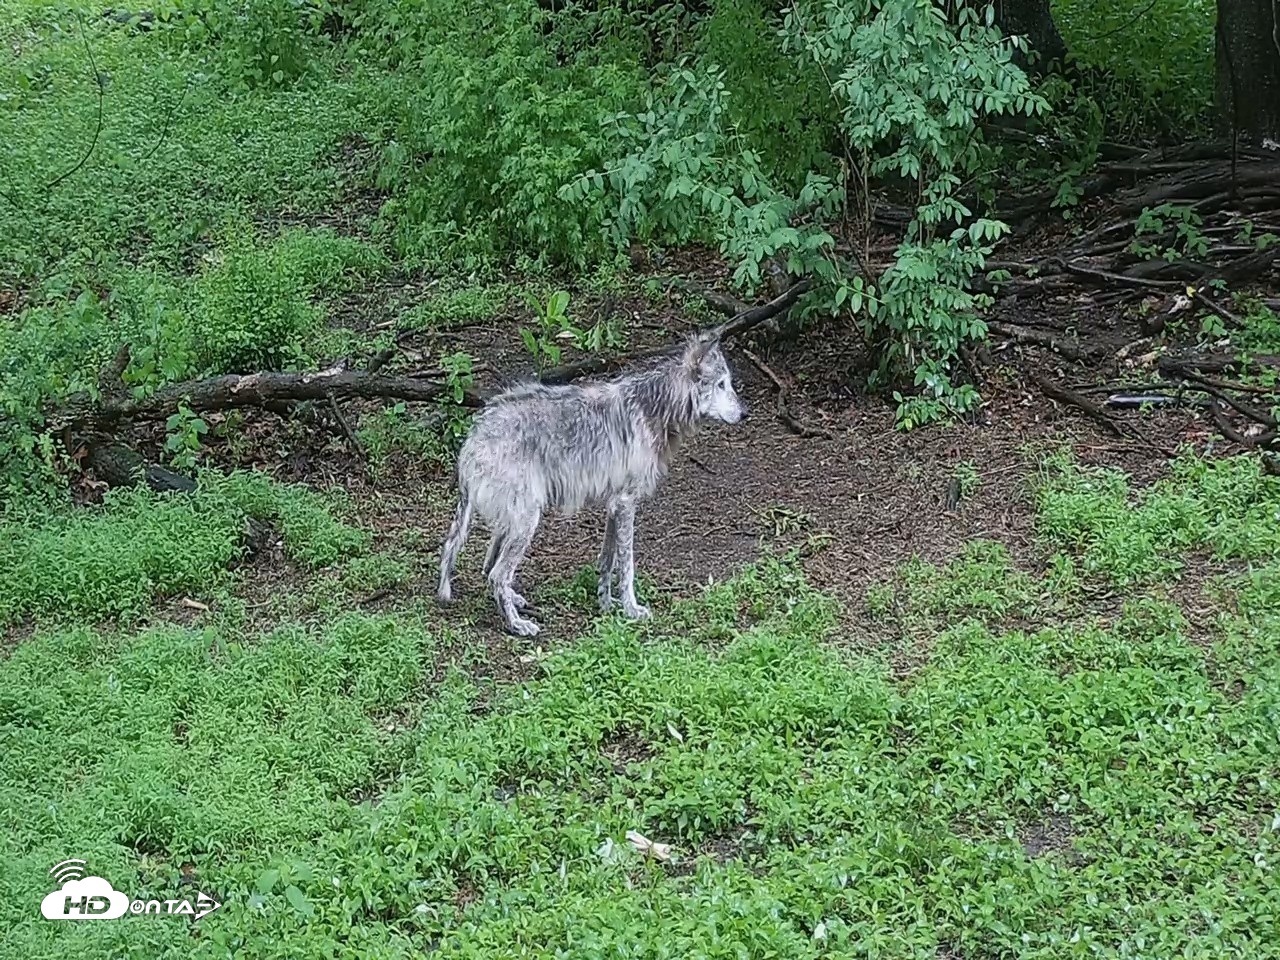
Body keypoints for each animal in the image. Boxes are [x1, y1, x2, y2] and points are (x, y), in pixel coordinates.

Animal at [436, 331, 748, 636]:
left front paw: (606, 604)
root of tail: (474, 436)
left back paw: (513, 602)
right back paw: (517, 625)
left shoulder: (615, 506)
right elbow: (627, 566)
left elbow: (607, 561)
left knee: (486, 566)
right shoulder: (626, 504)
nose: (745, 414)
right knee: (497, 574)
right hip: (526, 521)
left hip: (511, 523)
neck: (654, 407)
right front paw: (632, 609)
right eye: (721, 384)